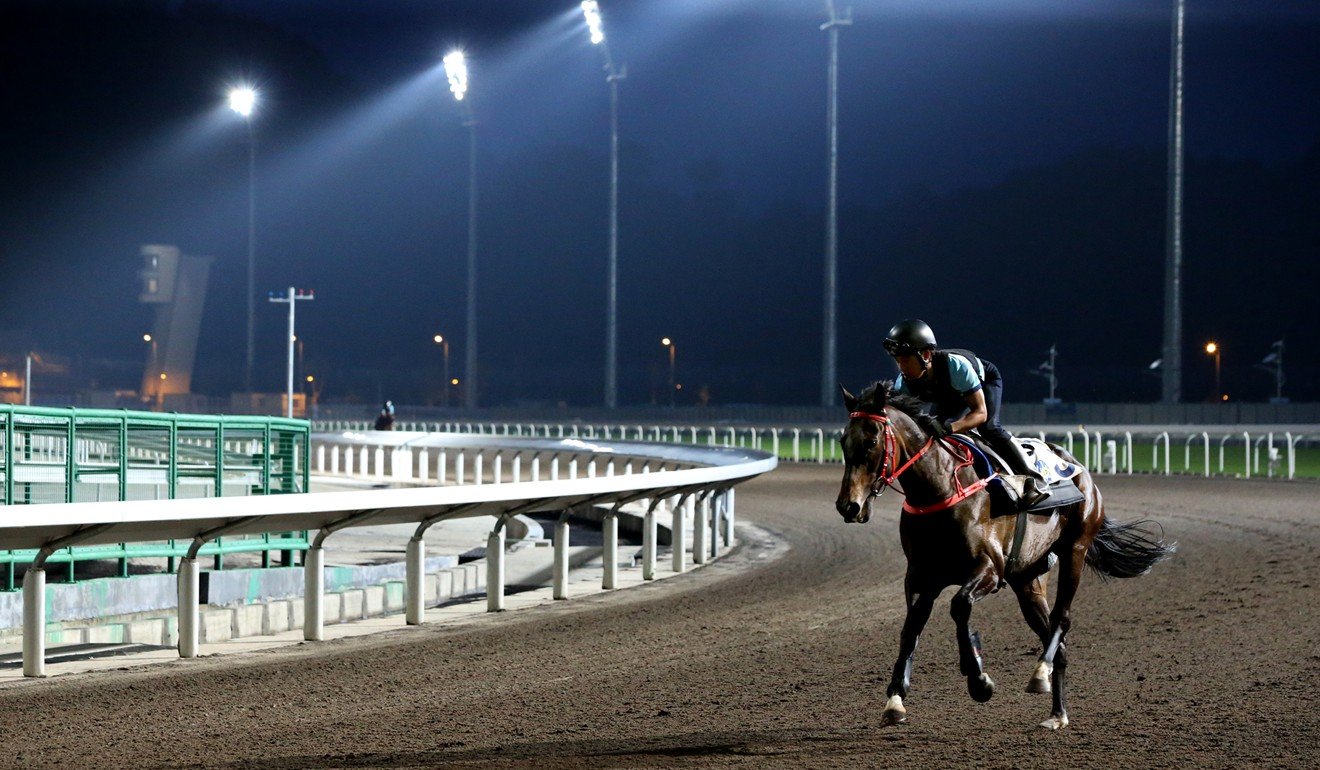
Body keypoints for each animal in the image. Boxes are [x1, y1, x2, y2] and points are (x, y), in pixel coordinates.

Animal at [834, 383, 1177, 734]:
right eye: (843, 440)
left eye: (872, 440)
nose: (849, 506)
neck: (941, 489)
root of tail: (1079, 469)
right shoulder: (921, 575)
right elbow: (911, 628)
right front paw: (895, 700)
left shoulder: (989, 568)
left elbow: (960, 605)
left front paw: (978, 678)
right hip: (1027, 579)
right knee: (1056, 638)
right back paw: (1057, 713)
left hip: (1075, 550)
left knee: (1062, 619)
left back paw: (1040, 674)